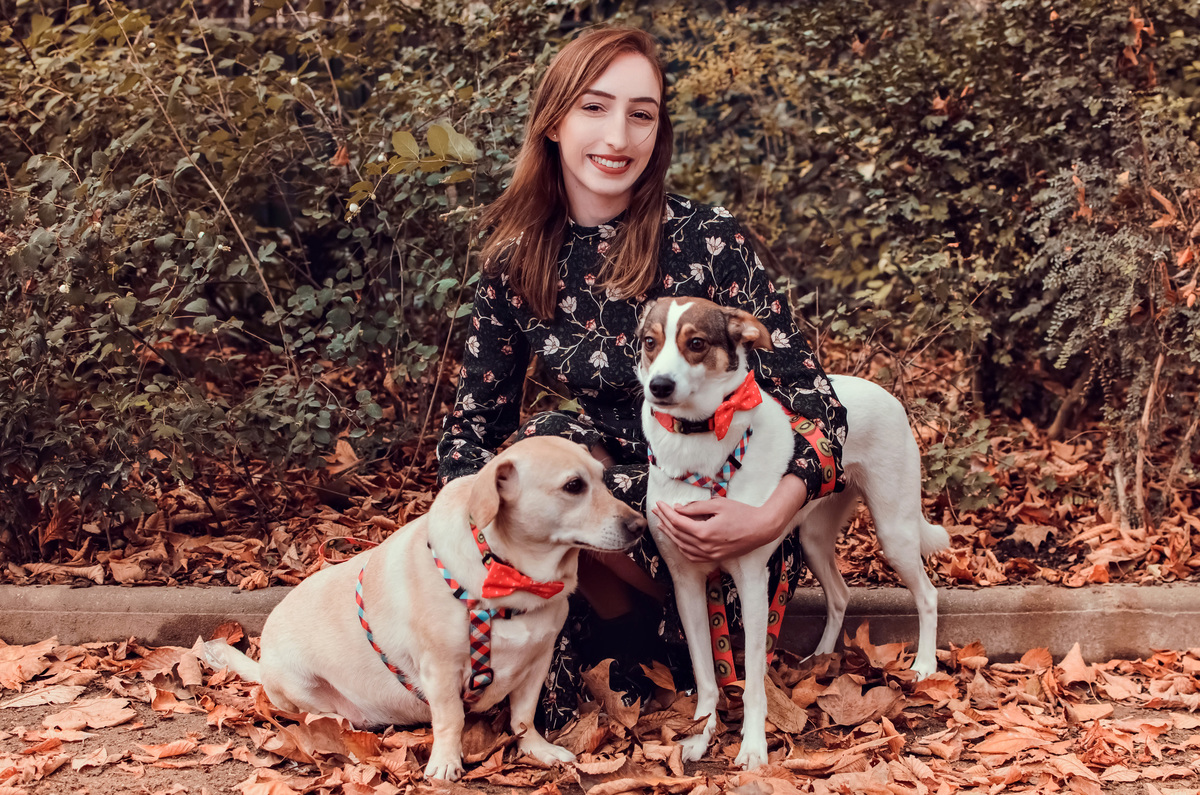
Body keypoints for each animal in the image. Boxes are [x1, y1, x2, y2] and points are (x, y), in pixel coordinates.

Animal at [204, 436, 645, 781]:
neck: (511, 576)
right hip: (301, 685)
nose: (640, 526)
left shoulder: (538, 661)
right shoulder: (441, 670)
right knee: (320, 716)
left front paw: (537, 749)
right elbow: (451, 719)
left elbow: (523, 716)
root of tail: (263, 664)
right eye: (573, 486)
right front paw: (446, 763)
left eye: (604, 478)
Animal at [637, 296, 948, 769]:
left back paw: (926, 665)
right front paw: (701, 733)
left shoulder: (751, 579)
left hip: (894, 530)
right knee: (840, 594)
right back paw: (820, 658)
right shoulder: (686, 582)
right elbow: (707, 675)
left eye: (696, 343)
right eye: (650, 342)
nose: (659, 386)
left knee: (927, 595)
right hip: (813, 538)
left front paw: (752, 746)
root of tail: (885, 392)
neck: (702, 442)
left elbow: (751, 682)